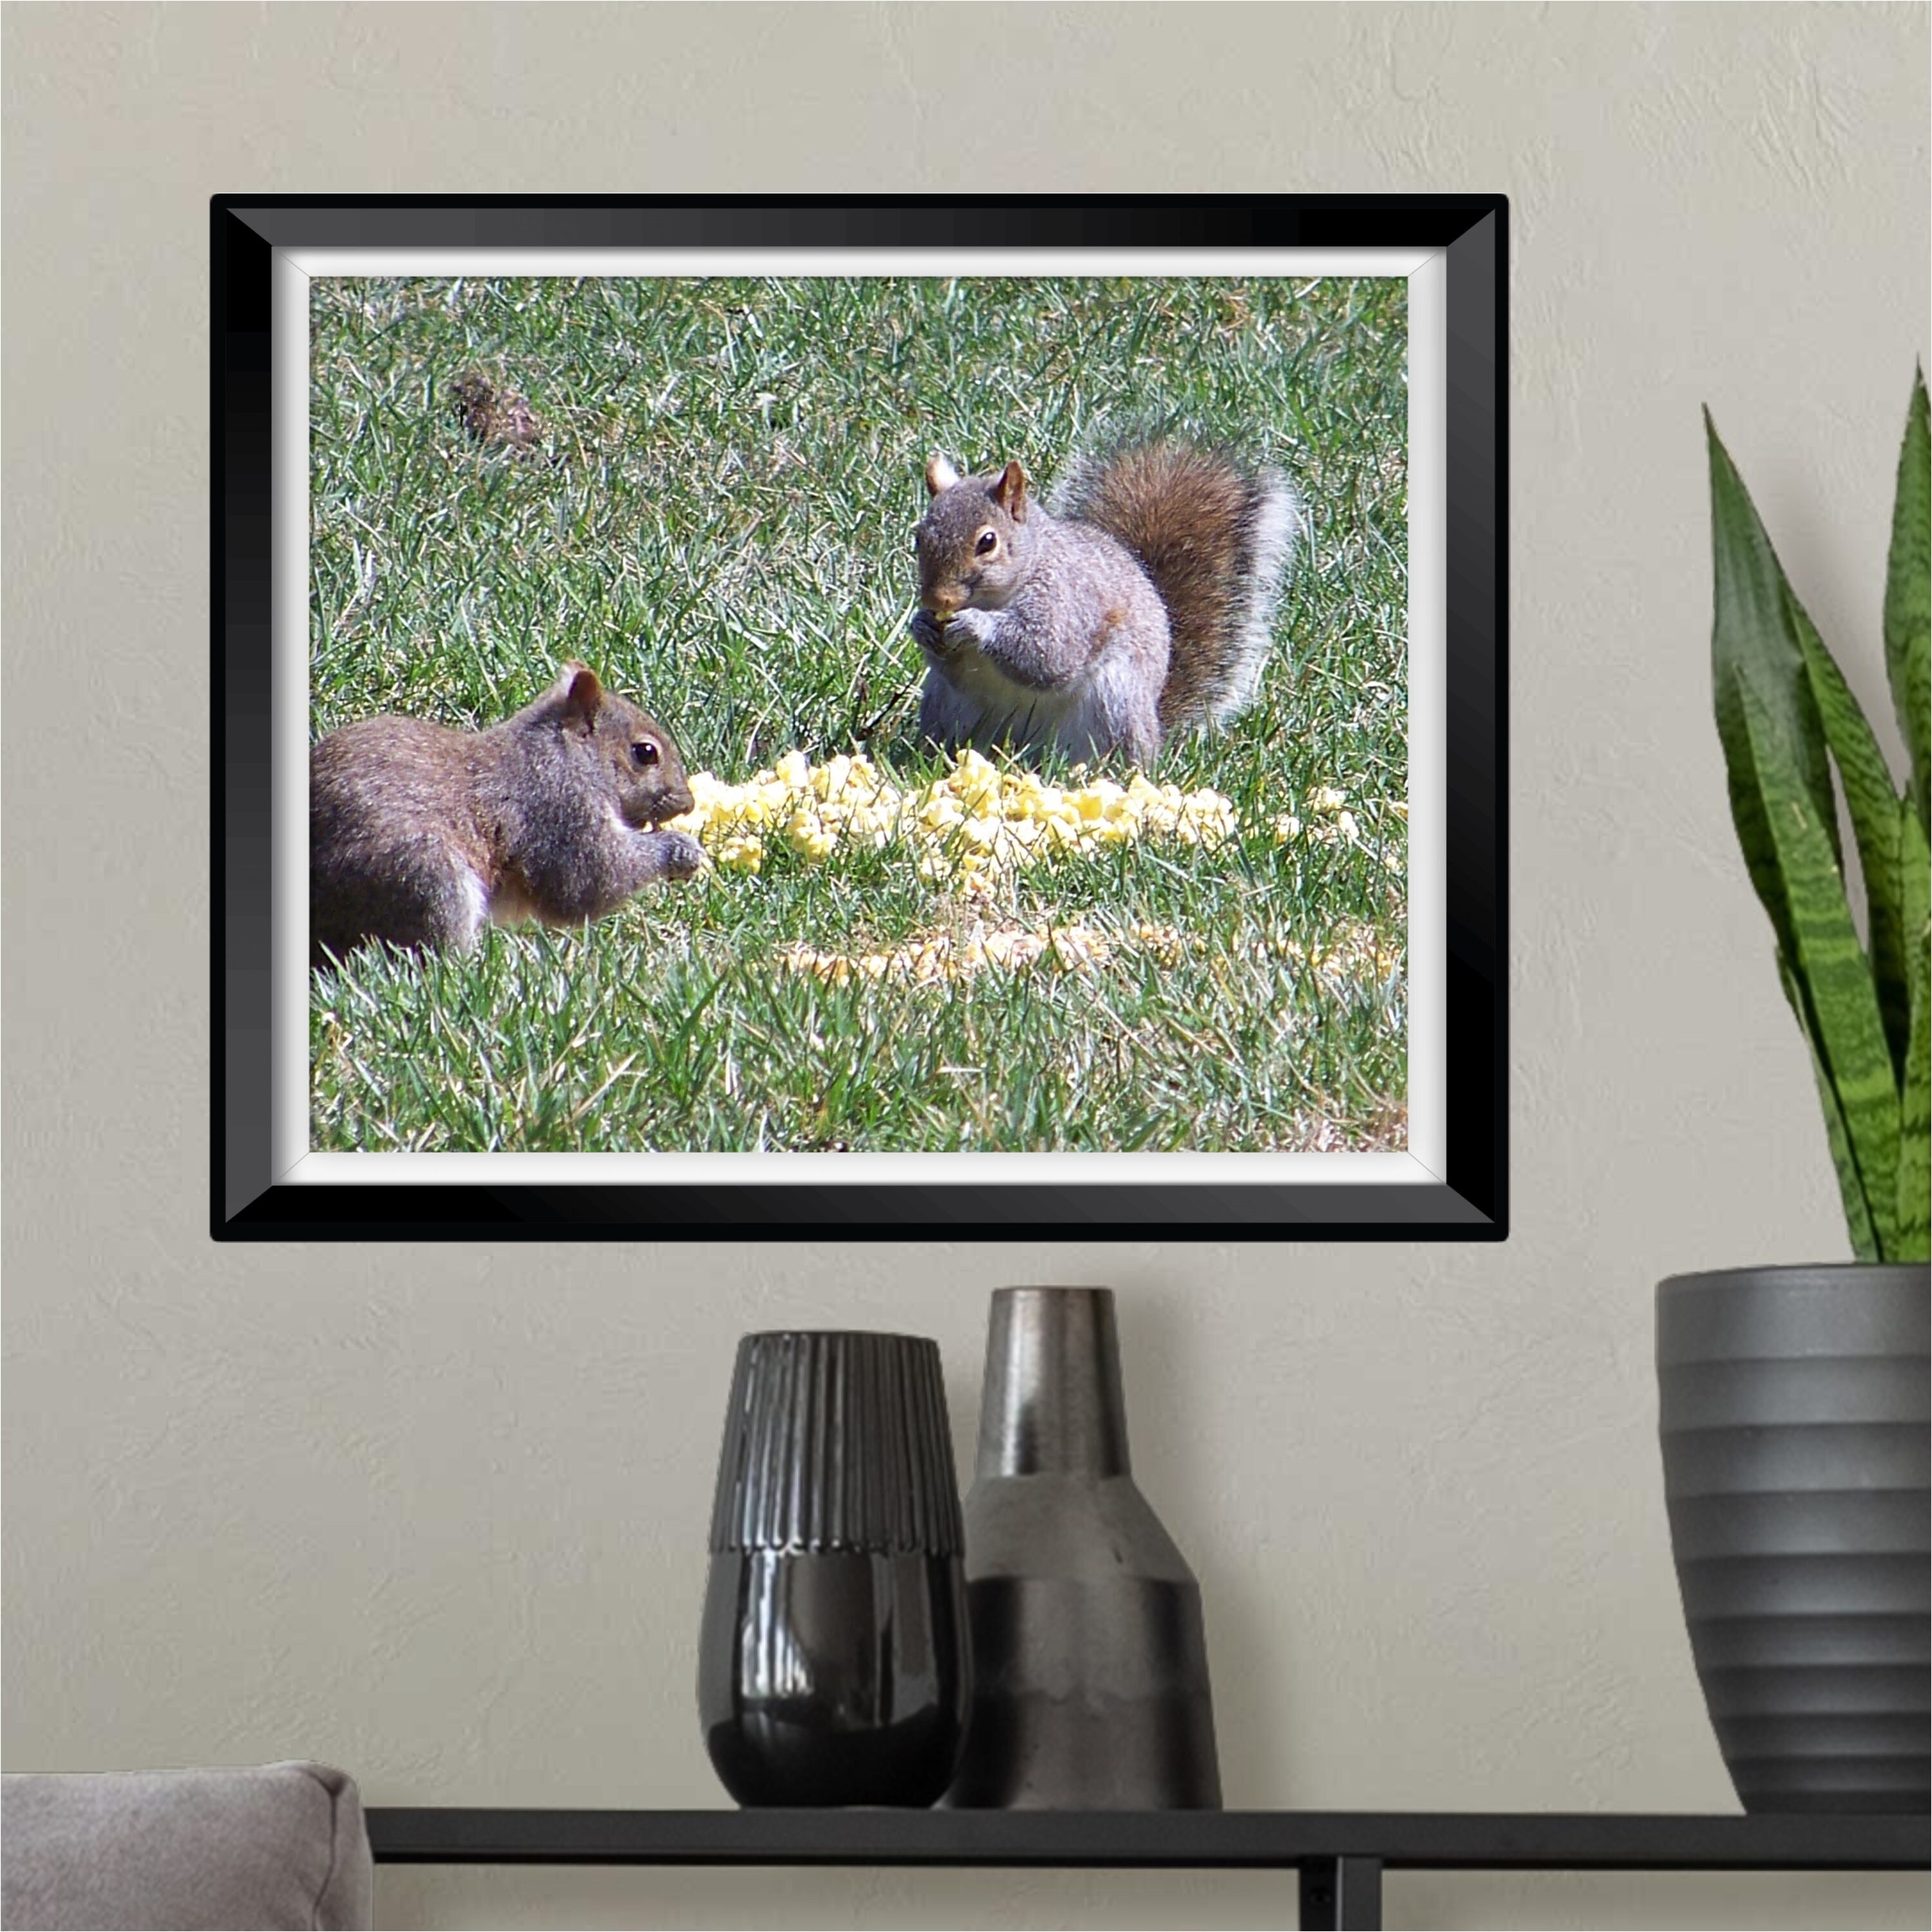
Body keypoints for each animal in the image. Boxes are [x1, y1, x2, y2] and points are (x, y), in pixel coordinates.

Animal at [310, 661, 702, 966]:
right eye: (645, 753)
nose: (688, 804)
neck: (567, 754)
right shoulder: (559, 807)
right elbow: (591, 881)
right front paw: (681, 849)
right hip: (426, 876)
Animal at [910, 434, 1298, 765]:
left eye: (987, 542)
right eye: (919, 536)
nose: (937, 599)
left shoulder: (1069, 605)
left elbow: (1046, 657)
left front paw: (976, 625)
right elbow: (955, 669)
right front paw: (921, 625)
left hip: (1115, 704)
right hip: (946, 705)